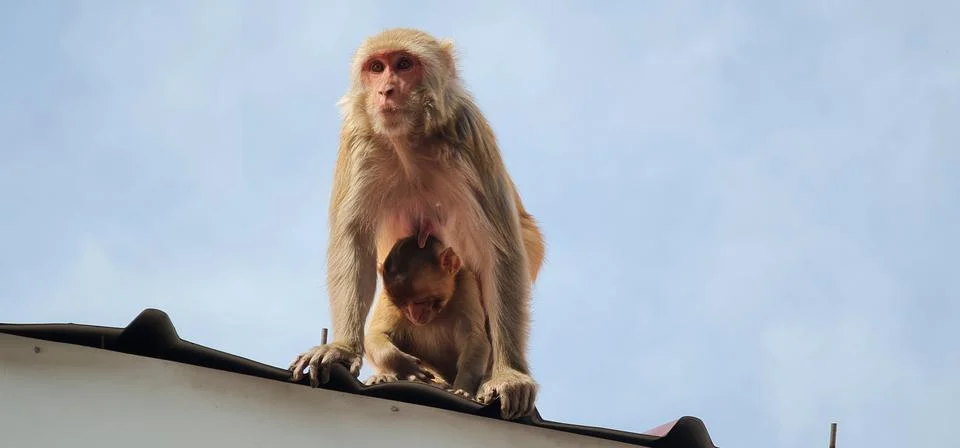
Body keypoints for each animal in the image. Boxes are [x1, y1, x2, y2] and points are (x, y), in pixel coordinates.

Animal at [363, 234, 490, 399]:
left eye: (419, 301)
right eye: (402, 305)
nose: (413, 315)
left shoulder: (467, 285)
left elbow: (475, 339)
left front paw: (463, 389)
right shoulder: (387, 297)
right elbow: (374, 335)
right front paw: (405, 365)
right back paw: (383, 377)